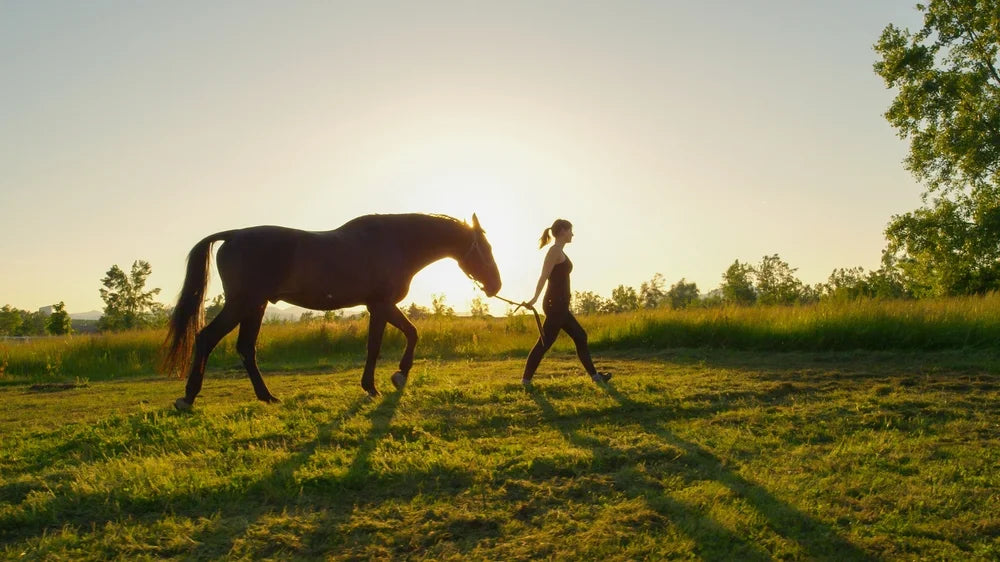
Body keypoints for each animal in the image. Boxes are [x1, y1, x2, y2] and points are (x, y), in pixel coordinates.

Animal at [161, 213, 501, 409]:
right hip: (241, 304)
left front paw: (382, 382)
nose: (495, 285)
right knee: (207, 338)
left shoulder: (378, 307)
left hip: (255, 306)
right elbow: (395, 339)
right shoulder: (381, 305)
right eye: (485, 249)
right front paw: (388, 380)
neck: (394, 242)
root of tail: (234, 235)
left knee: (246, 348)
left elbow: (392, 340)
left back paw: (267, 396)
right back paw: (188, 397)